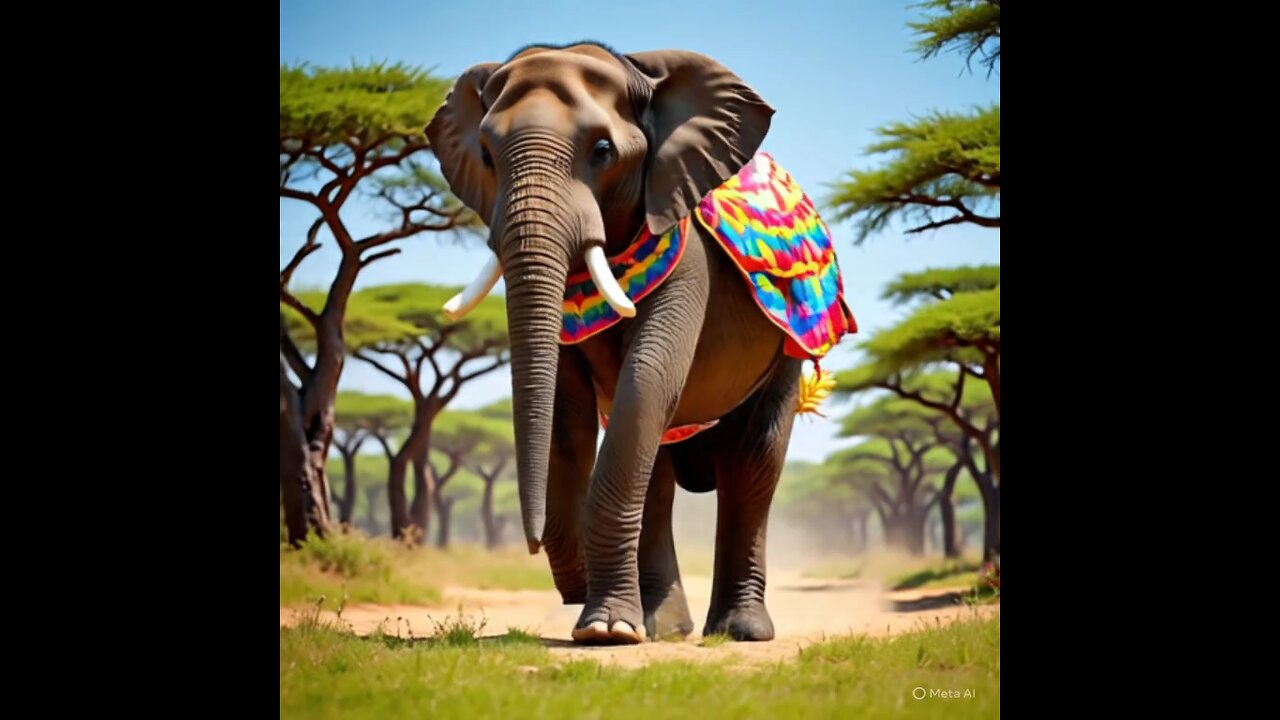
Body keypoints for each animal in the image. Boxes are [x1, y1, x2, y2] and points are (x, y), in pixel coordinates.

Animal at [425, 41, 856, 645]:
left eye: (603, 150)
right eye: (487, 154)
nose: (531, 546)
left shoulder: (689, 257)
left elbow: (648, 378)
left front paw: (603, 630)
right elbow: (567, 407)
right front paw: (608, 625)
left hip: (787, 343)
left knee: (753, 461)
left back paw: (739, 631)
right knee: (658, 469)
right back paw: (662, 629)